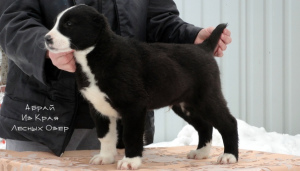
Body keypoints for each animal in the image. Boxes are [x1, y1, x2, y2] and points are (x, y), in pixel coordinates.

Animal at [44, 4, 239, 169]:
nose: (46, 39)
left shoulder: (134, 106)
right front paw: (105, 157)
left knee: (228, 122)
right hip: (185, 105)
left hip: (206, 97)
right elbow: (105, 136)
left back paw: (229, 156)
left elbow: (130, 135)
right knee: (205, 125)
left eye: (69, 24)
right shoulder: (98, 108)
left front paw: (130, 161)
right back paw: (201, 152)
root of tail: (204, 48)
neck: (97, 54)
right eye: (56, 23)